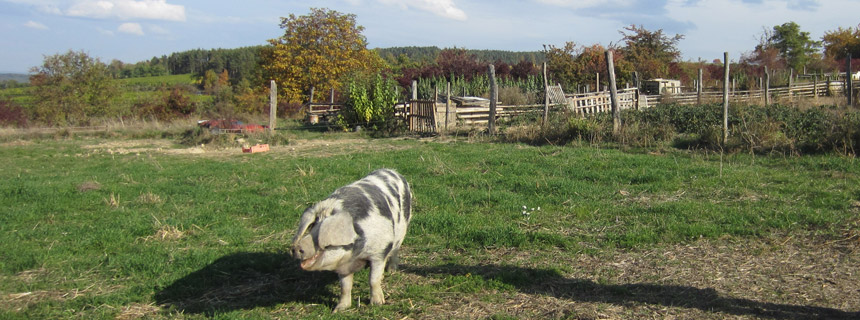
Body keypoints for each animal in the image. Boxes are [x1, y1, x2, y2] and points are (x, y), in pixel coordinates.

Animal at [292, 169, 414, 312]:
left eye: (321, 236)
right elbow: (345, 287)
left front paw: (377, 303)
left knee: (395, 250)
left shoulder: (379, 252)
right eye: (312, 228)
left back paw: (391, 270)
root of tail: (392, 171)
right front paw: (338, 309)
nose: (295, 248)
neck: (355, 256)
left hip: (403, 228)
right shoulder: (343, 267)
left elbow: (373, 280)